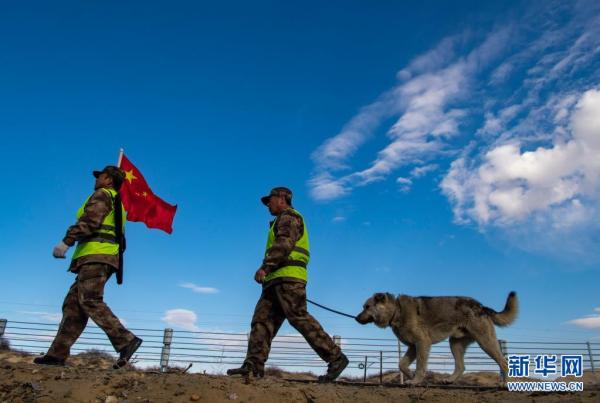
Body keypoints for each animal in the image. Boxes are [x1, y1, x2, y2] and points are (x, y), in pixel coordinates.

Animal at [354, 292, 516, 384]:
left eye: (367, 307)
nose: (356, 318)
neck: (397, 311)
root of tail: (481, 306)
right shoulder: (413, 347)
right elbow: (402, 364)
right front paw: (410, 376)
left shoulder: (422, 344)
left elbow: (420, 366)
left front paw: (416, 380)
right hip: (455, 344)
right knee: (461, 366)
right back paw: (450, 380)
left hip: (485, 342)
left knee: (504, 362)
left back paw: (505, 384)